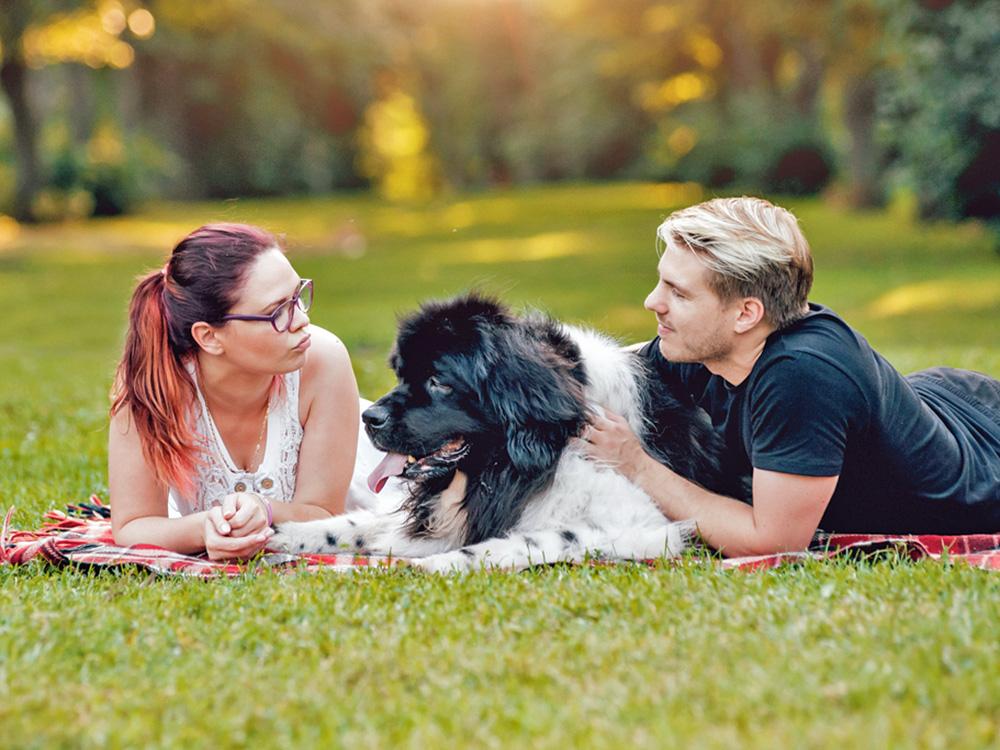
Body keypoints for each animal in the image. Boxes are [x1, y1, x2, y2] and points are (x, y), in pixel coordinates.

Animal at [270, 296, 748, 572]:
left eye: (439, 381)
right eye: (402, 374)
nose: (369, 417)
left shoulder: (645, 527)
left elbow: (533, 540)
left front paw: (435, 565)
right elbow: (351, 525)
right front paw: (280, 534)